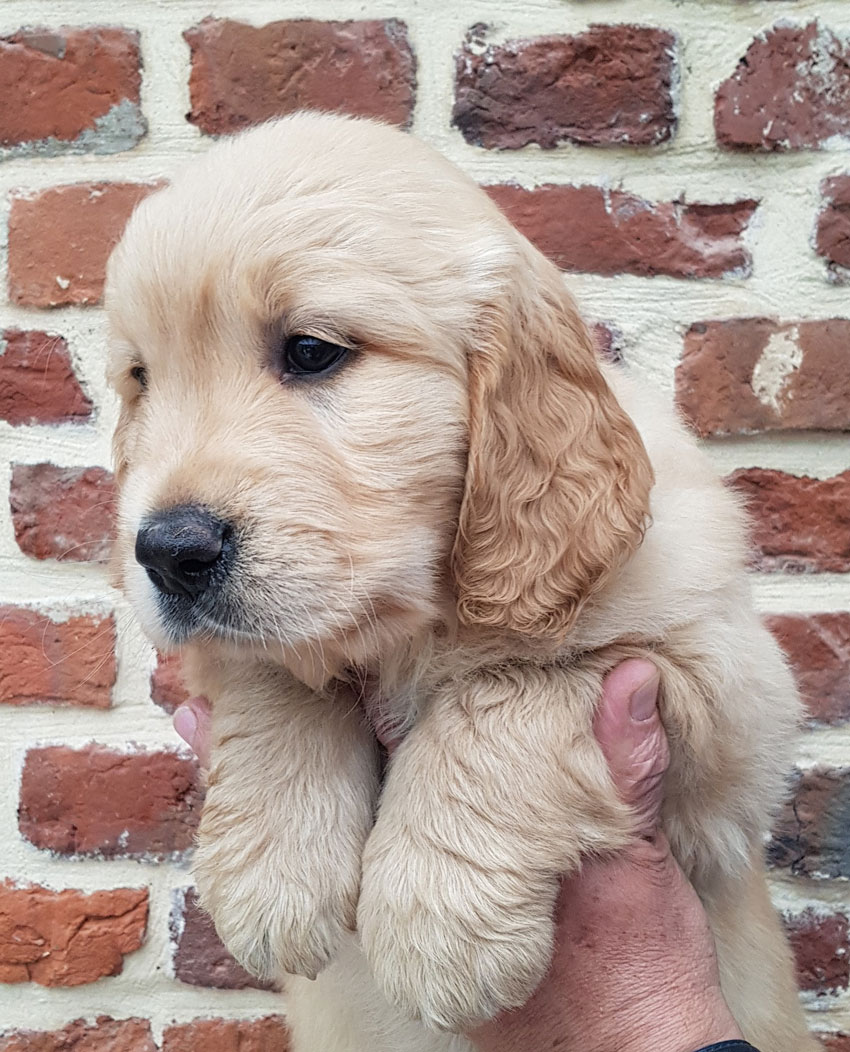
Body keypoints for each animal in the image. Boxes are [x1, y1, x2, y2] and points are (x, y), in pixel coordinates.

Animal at [104, 113, 816, 1052]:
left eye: (312, 352)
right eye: (141, 379)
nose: (166, 551)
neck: (421, 625)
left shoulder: (727, 703)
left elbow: (516, 689)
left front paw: (440, 922)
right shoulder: (247, 651)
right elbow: (276, 678)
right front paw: (272, 873)